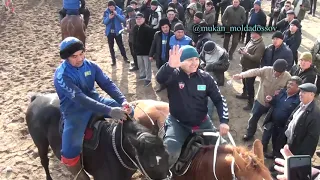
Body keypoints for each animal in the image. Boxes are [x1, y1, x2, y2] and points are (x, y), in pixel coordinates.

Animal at [25, 94, 171, 180]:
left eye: (167, 155)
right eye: (151, 165)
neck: (115, 149)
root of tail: (37, 98)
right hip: (41, 143)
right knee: (45, 161)